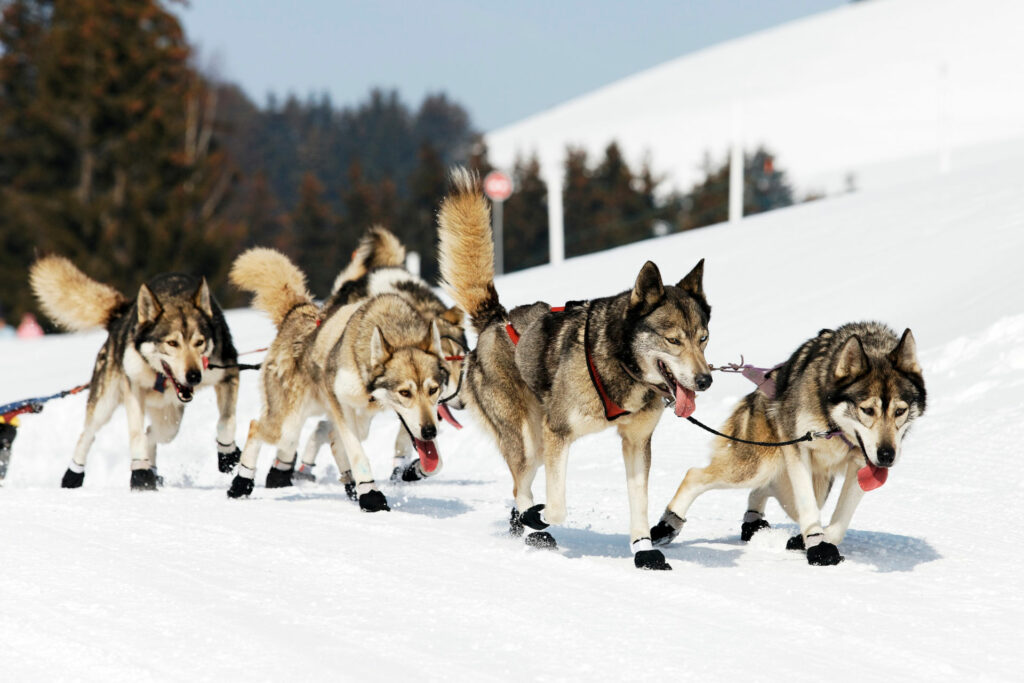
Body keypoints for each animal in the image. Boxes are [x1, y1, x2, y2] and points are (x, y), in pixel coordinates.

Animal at [29, 253, 240, 489]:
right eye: (172, 343)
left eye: (200, 342)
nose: (194, 376)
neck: (162, 376)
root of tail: (123, 313)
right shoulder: (133, 386)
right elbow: (136, 433)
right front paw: (140, 474)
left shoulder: (228, 373)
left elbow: (226, 421)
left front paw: (227, 454)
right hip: (105, 403)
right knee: (88, 434)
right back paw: (73, 474)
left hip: (170, 418)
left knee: (155, 433)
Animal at [228, 248, 448, 509]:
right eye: (405, 392)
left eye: (433, 390)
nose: (430, 431)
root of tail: (298, 311)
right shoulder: (341, 403)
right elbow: (358, 454)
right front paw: (371, 497)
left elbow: (435, 463)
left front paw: (412, 470)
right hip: (288, 426)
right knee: (257, 427)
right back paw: (241, 482)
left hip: (353, 422)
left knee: (333, 440)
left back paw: (352, 486)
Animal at [286, 227, 466, 489]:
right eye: (445, 366)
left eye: (461, 362)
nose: (462, 402)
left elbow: (412, 440)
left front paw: (407, 468)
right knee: (326, 428)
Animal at [434, 171, 712, 573]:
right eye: (673, 340)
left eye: (704, 338)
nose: (706, 380)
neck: (619, 363)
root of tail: (495, 319)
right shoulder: (559, 434)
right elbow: (557, 508)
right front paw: (538, 516)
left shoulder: (636, 442)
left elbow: (639, 503)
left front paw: (644, 550)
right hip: (529, 440)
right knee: (521, 486)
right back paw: (531, 525)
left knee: (520, 488)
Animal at [655, 323, 929, 565]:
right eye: (867, 410)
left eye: (900, 411)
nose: (886, 455)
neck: (834, 427)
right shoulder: (798, 449)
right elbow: (808, 508)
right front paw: (818, 545)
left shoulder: (862, 464)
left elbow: (841, 520)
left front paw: (821, 539)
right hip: (758, 465)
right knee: (695, 475)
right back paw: (669, 524)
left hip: (806, 483)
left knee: (763, 490)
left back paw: (756, 524)